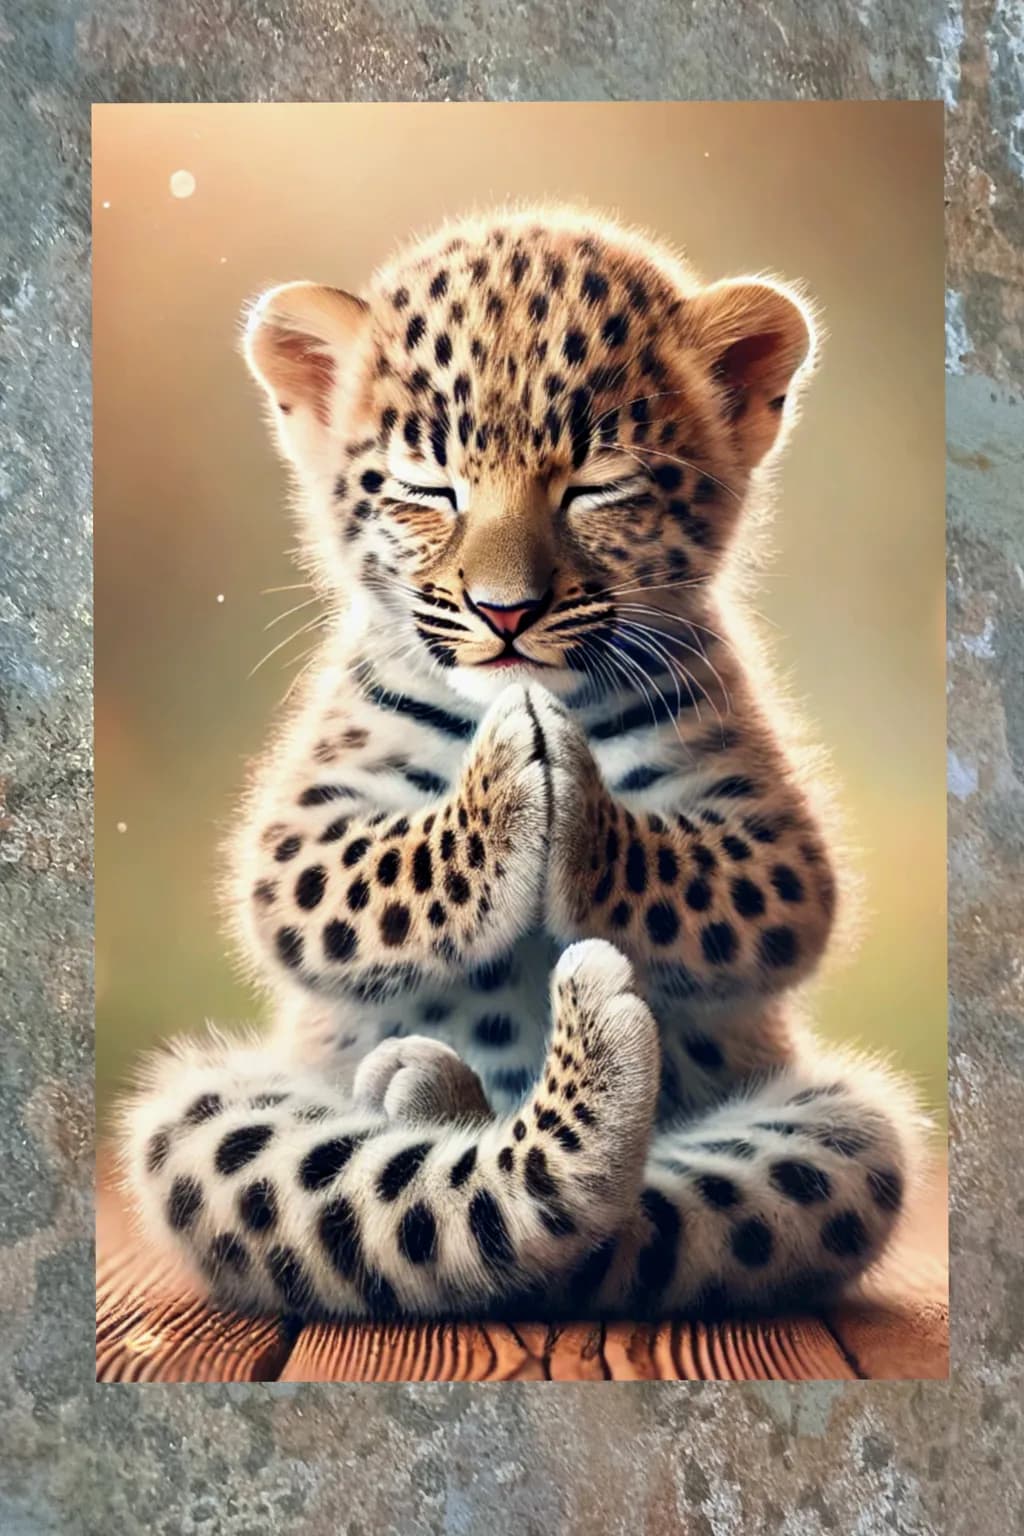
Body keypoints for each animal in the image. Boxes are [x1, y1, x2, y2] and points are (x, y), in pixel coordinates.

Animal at [119, 205, 927, 1324]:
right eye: (428, 489)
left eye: (596, 489)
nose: (506, 614)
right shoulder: (298, 839)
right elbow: (360, 876)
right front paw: (513, 772)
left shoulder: (774, 848)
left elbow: (718, 878)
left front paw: (568, 784)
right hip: (206, 1118)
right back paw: (436, 1084)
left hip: (840, 1135)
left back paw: (447, 1085)